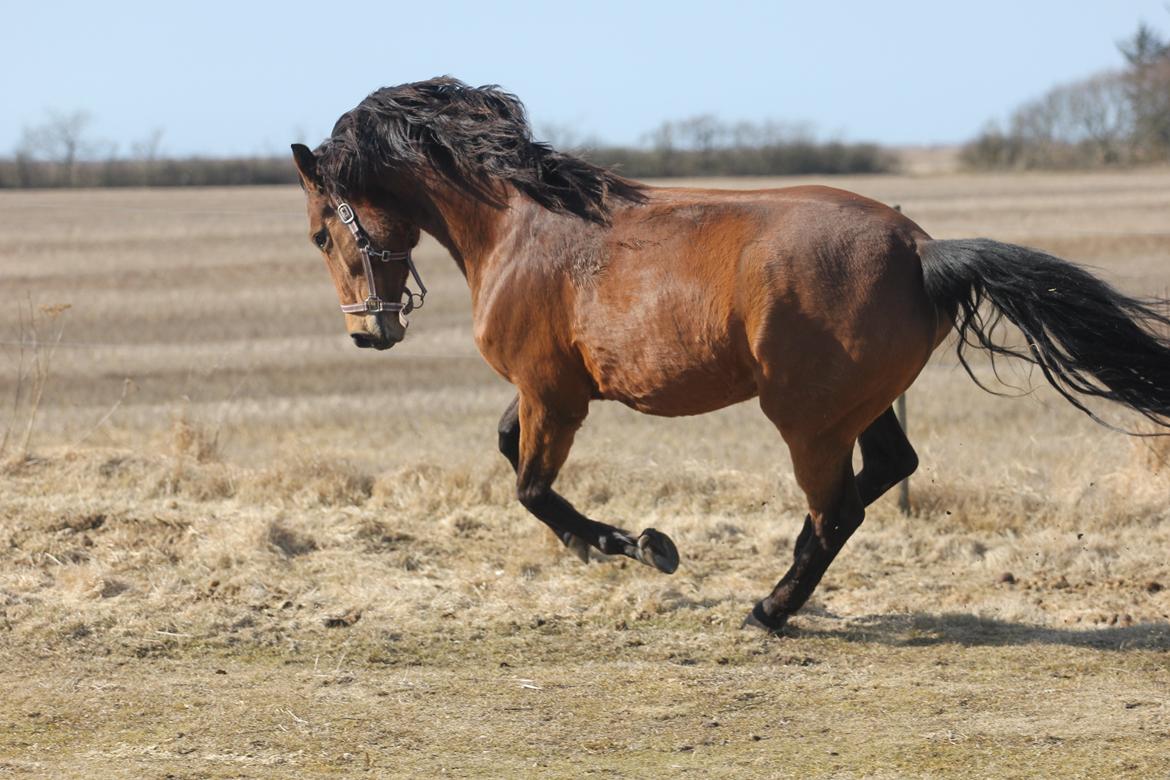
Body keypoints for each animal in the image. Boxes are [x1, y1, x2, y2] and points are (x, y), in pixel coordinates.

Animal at [290, 76, 1170, 631]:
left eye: (320, 233)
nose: (368, 331)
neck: (519, 225)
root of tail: (921, 251)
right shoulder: (555, 391)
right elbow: (509, 450)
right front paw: (597, 546)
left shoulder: (552, 395)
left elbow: (531, 486)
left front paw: (639, 545)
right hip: (862, 406)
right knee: (889, 469)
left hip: (807, 420)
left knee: (838, 508)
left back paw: (771, 609)